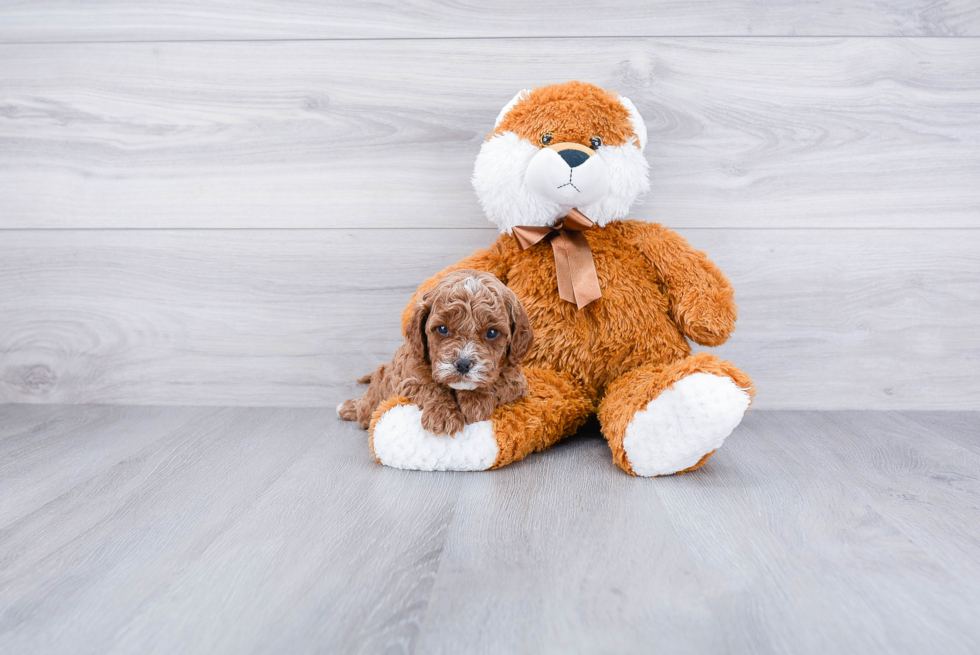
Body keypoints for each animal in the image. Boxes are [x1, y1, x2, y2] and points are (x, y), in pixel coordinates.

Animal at [338, 270, 536, 438]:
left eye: (492, 332)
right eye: (442, 329)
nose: (463, 364)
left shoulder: (517, 380)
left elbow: (498, 382)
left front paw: (475, 401)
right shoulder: (409, 377)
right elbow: (430, 386)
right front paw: (443, 417)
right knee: (365, 409)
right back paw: (349, 407)